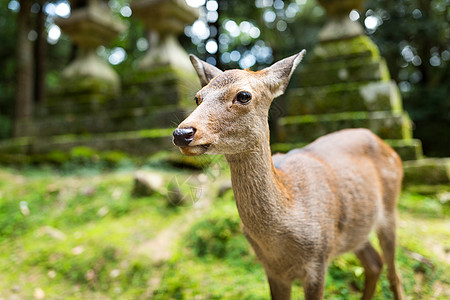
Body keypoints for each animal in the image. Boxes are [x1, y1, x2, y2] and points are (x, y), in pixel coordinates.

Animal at [172, 50, 404, 298]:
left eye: (243, 96)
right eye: (198, 97)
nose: (182, 133)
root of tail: (388, 147)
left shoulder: (318, 260)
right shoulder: (272, 270)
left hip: (390, 209)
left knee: (394, 274)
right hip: (357, 228)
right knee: (374, 263)